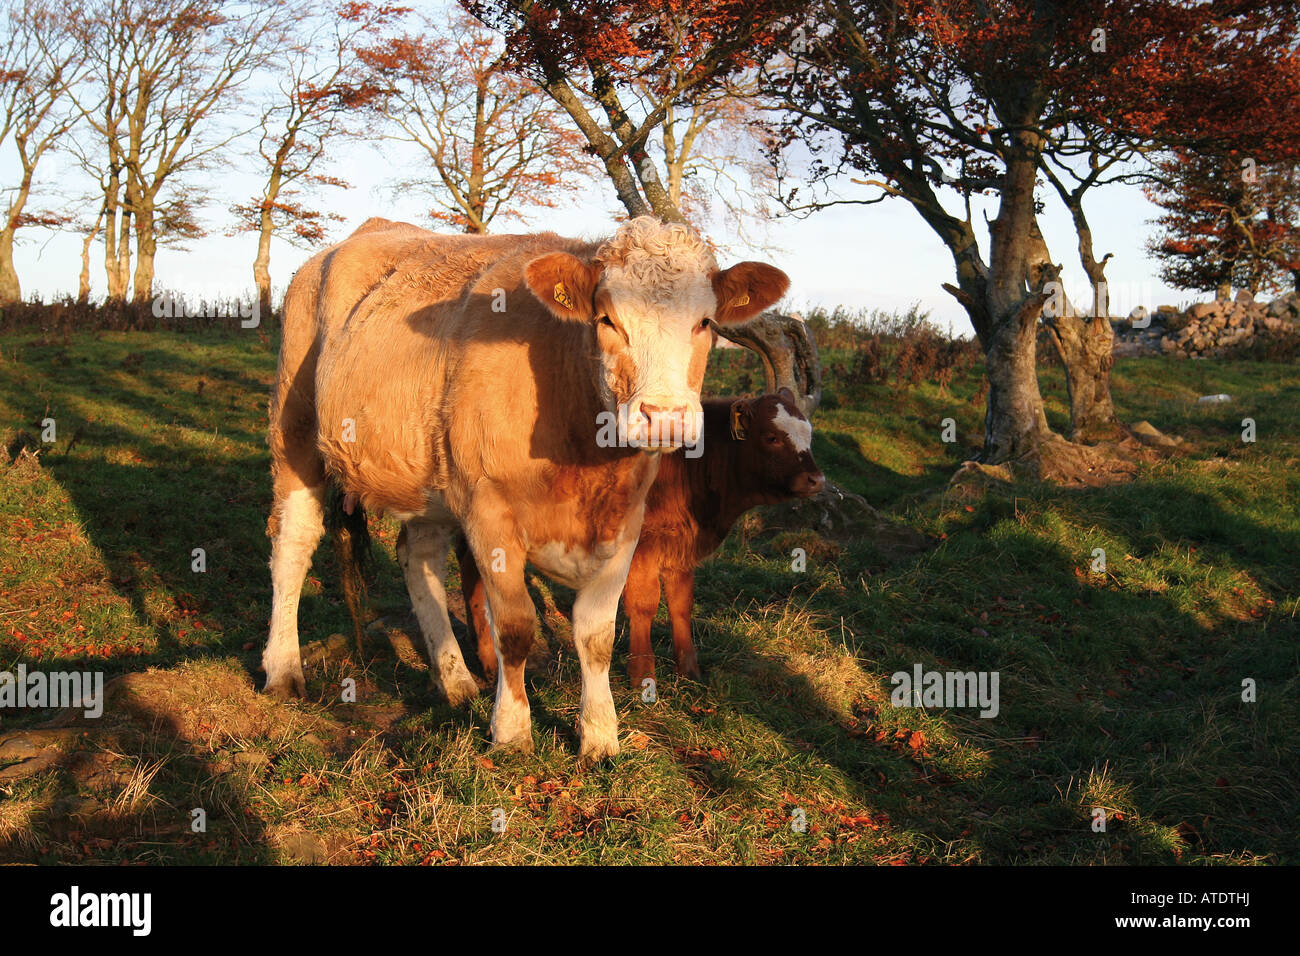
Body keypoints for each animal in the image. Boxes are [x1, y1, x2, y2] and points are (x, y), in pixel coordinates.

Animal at [458, 388, 825, 689]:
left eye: (808, 433)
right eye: (772, 437)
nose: (816, 480)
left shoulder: (680, 548)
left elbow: (681, 603)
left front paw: (689, 670)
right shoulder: (641, 547)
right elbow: (644, 604)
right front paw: (643, 675)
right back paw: (487, 661)